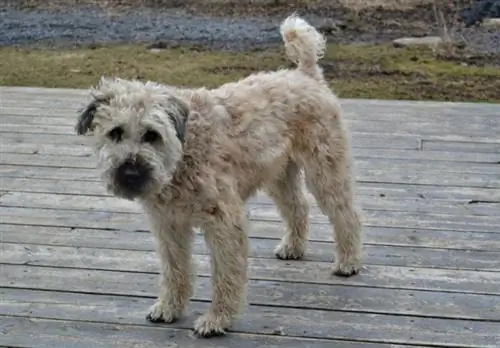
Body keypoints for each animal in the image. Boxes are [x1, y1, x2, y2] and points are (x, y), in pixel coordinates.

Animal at [75, 13, 364, 338]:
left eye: (152, 134)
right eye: (115, 133)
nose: (131, 172)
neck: (183, 155)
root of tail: (306, 74)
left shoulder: (223, 220)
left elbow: (226, 274)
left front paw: (217, 319)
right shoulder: (169, 224)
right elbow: (175, 270)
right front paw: (169, 307)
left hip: (325, 168)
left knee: (346, 213)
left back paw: (348, 262)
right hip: (279, 174)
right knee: (298, 206)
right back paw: (293, 247)